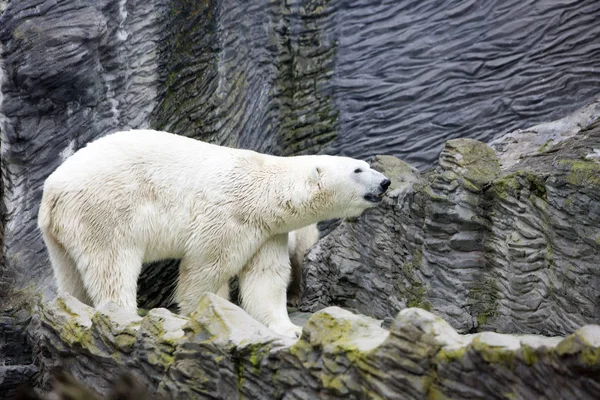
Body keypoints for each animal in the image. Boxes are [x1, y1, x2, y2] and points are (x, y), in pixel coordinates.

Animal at [38, 129, 394, 338]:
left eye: (366, 164)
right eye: (358, 169)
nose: (385, 182)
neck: (264, 189)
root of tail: (53, 188)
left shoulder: (267, 231)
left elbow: (265, 278)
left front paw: (287, 329)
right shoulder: (229, 217)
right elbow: (205, 272)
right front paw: (208, 316)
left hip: (62, 230)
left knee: (70, 271)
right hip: (105, 210)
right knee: (111, 264)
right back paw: (126, 315)